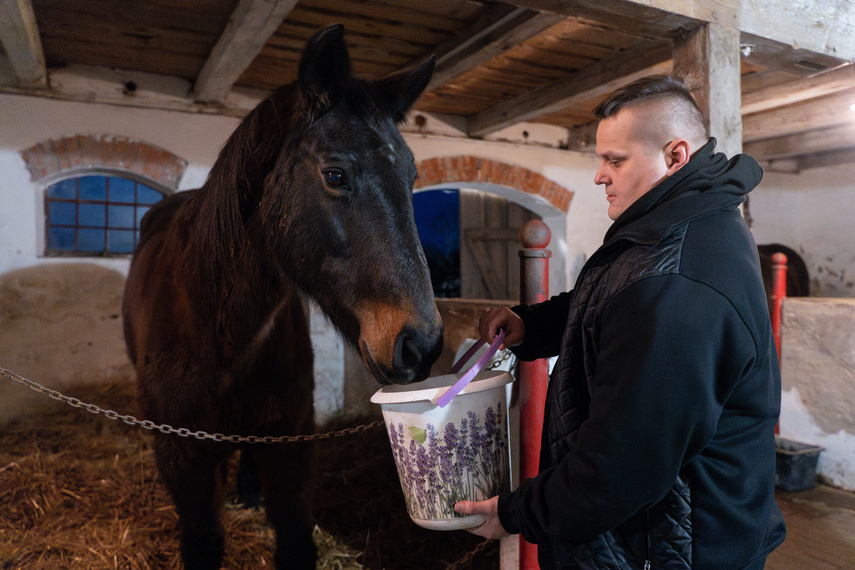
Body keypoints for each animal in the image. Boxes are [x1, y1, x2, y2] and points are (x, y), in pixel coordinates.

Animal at [123, 25, 444, 568]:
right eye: (335, 174)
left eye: (412, 178)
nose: (421, 343)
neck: (217, 330)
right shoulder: (182, 457)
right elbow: (204, 539)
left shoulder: (290, 447)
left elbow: (295, 538)